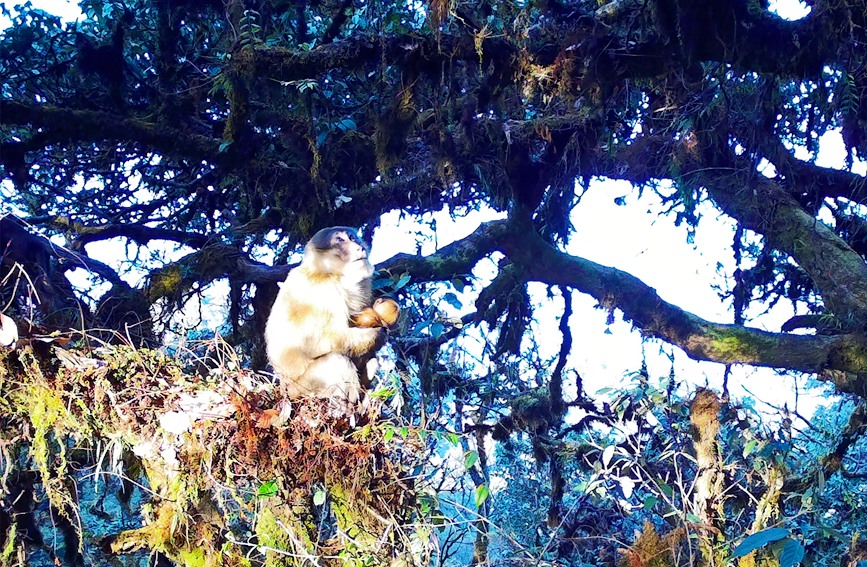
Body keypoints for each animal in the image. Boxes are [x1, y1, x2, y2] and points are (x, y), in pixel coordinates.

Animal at [265, 227, 393, 405]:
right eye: (340, 241)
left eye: (352, 238)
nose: (359, 247)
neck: (327, 271)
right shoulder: (326, 289)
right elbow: (316, 342)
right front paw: (378, 334)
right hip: (301, 390)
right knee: (337, 360)